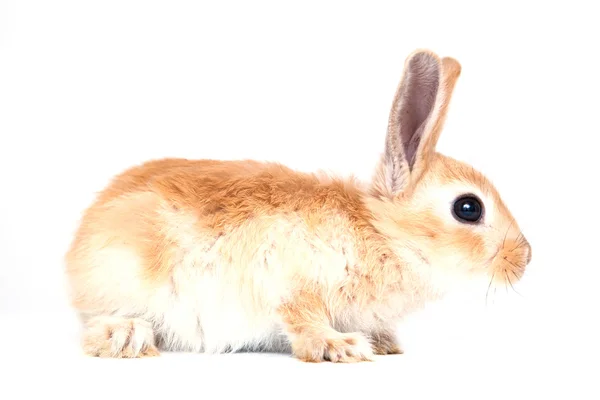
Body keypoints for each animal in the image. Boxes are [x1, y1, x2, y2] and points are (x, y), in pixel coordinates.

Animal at [64, 48, 528, 360]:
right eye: (468, 208)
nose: (524, 258)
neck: (384, 236)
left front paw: (384, 344)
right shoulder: (293, 281)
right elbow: (304, 318)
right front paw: (342, 347)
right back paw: (128, 336)